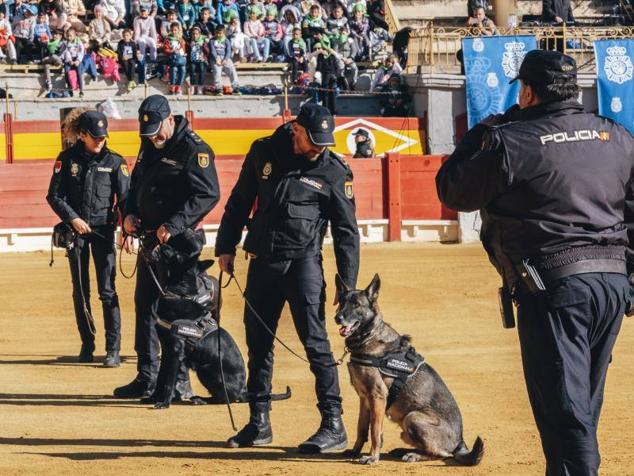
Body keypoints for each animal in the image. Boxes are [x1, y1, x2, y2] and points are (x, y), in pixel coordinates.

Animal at [334, 276, 482, 464]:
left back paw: (413, 455)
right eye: (341, 302)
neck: (370, 336)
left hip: (412, 417)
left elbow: (375, 431)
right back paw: (402, 451)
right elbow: (362, 428)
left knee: (440, 454)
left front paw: (373, 457)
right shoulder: (365, 398)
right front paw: (355, 451)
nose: (337, 318)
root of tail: (460, 442)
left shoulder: (377, 396)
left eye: (356, 305)